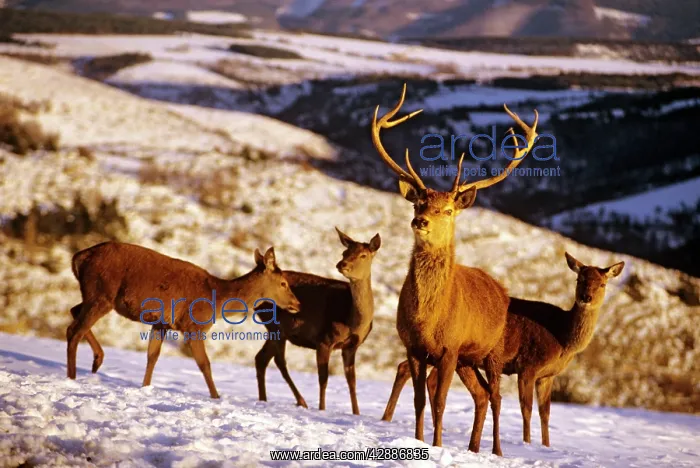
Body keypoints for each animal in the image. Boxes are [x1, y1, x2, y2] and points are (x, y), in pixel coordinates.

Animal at [67, 241, 301, 399]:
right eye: (283, 283)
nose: (297, 304)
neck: (217, 300)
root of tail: (78, 257)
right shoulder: (194, 325)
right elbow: (204, 364)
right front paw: (216, 397)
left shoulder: (160, 323)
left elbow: (152, 356)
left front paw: (145, 387)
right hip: (102, 292)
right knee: (74, 330)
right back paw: (73, 376)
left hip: (93, 294)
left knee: (73, 311)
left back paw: (97, 360)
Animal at [255, 227, 380, 415]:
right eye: (344, 252)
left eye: (363, 255)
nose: (342, 264)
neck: (352, 321)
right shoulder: (324, 339)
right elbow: (323, 378)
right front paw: (322, 409)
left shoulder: (352, 346)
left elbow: (352, 381)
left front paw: (356, 413)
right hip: (276, 326)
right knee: (278, 360)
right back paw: (301, 401)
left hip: (276, 329)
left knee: (261, 358)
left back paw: (263, 399)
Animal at [371, 83, 539, 455]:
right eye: (418, 203)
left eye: (447, 210)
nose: (420, 221)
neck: (429, 319)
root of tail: (502, 290)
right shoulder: (414, 346)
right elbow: (420, 399)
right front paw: (419, 440)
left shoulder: (449, 347)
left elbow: (441, 400)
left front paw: (437, 444)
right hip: (468, 359)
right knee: (480, 395)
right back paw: (474, 447)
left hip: (494, 351)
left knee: (495, 396)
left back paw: (497, 450)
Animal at [381, 252, 625, 448]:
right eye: (579, 279)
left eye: (602, 284)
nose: (586, 298)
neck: (561, 337)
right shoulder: (528, 365)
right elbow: (526, 408)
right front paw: (527, 443)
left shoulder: (548, 376)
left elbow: (545, 412)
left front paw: (546, 446)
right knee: (413, 371)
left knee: (410, 370)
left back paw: (391, 419)